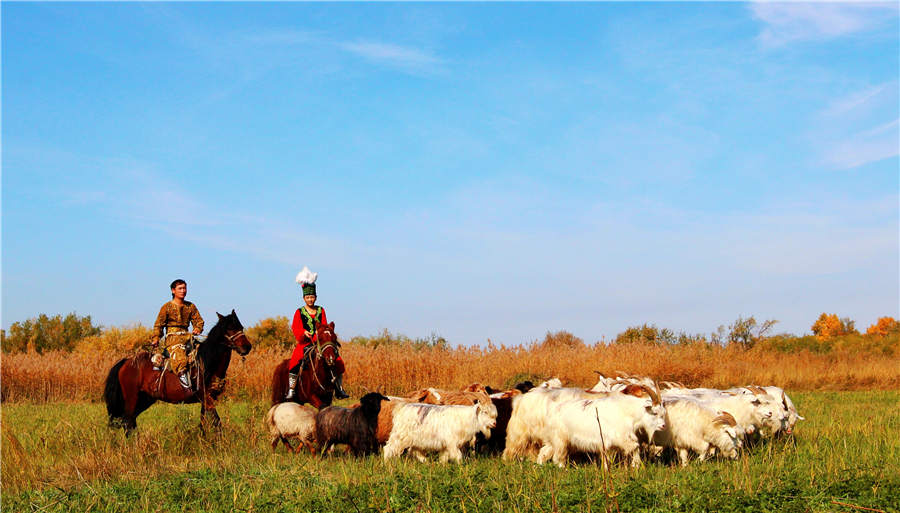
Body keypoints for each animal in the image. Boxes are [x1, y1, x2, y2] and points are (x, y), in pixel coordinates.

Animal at [103, 310, 251, 434]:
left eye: (241, 327)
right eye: (230, 328)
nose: (247, 347)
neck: (206, 363)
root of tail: (126, 362)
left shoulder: (206, 399)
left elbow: (204, 423)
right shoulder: (204, 396)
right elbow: (217, 421)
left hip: (145, 398)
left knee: (130, 421)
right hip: (132, 397)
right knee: (127, 421)